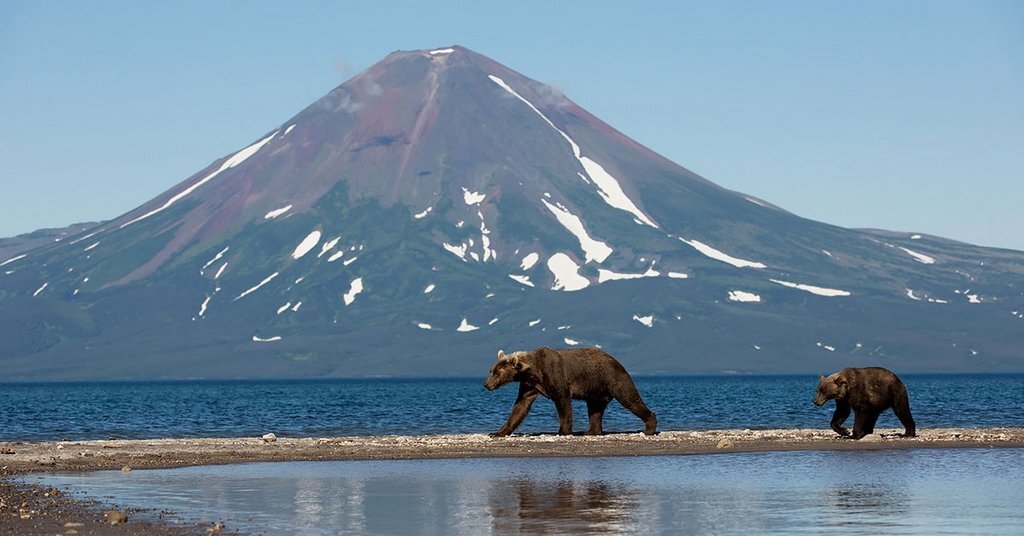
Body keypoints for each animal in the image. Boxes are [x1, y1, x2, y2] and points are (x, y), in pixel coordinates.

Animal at [479, 348, 655, 436]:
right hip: (595, 389)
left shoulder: (554, 375)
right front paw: (497, 432)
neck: (533, 371)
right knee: (595, 409)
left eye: (497, 372)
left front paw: (562, 431)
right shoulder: (529, 386)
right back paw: (591, 431)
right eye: (491, 370)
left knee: (630, 398)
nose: (486, 384)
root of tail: (617, 362)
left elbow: (563, 402)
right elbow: (520, 407)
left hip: (613, 378)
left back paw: (649, 427)